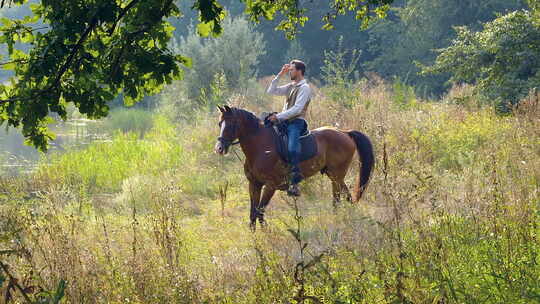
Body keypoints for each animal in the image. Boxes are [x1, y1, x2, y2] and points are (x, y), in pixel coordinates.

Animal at [213, 105, 374, 229]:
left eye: (232, 124)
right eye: (220, 124)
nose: (219, 148)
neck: (260, 148)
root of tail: (345, 133)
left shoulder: (270, 186)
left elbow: (260, 211)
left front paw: (266, 234)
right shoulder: (254, 184)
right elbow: (253, 212)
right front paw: (254, 238)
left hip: (336, 175)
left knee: (339, 197)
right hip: (333, 175)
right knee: (345, 196)